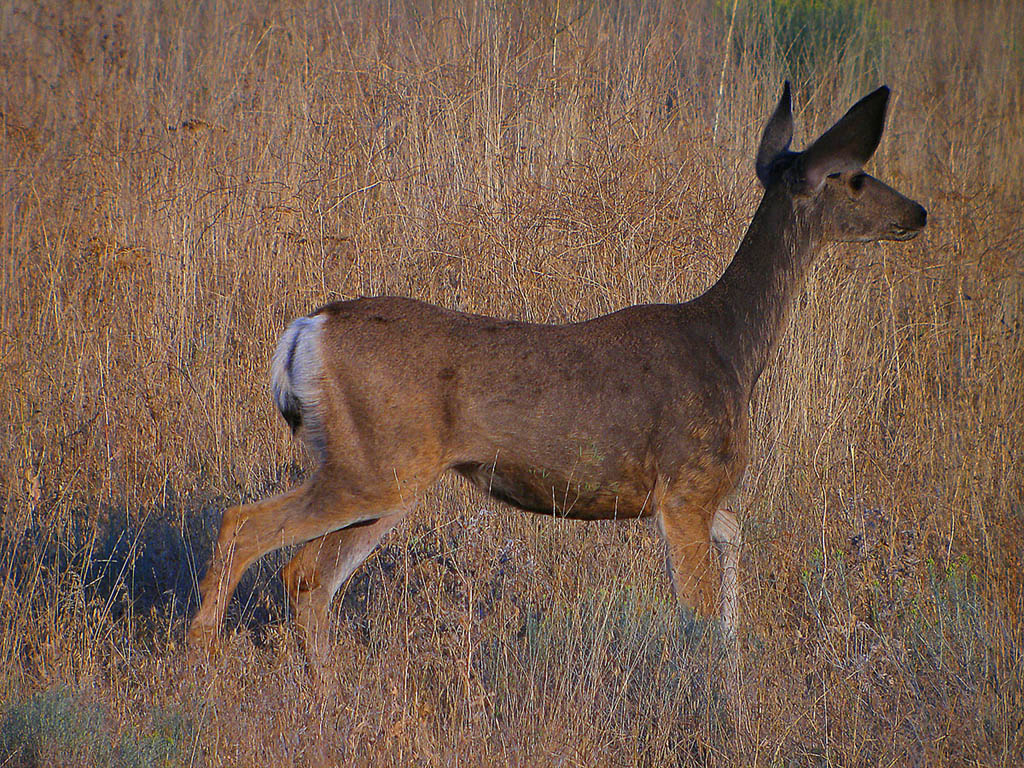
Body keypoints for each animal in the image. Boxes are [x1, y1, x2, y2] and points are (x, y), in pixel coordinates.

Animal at [187, 83, 926, 668]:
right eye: (856, 177)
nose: (918, 212)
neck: (731, 350)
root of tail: (308, 329)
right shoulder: (686, 487)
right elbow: (697, 614)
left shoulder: (695, 497)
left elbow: (736, 544)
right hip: (377, 465)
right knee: (246, 529)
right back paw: (198, 669)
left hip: (379, 474)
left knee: (307, 576)